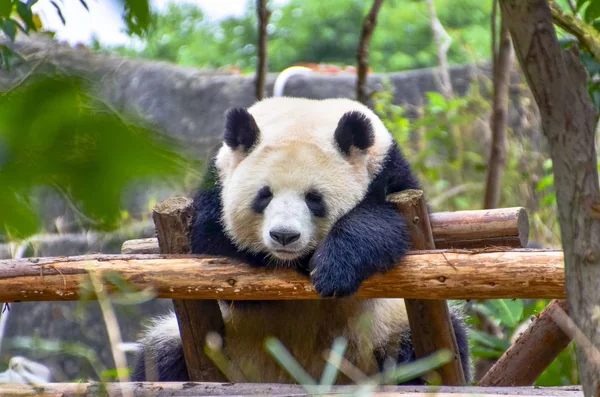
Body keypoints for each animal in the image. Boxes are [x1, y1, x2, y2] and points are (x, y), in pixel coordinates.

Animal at [134, 96, 472, 384]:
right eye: (264, 195)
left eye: (314, 198)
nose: (284, 236)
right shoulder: (216, 185)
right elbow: (217, 247)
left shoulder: (391, 172)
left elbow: (391, 225)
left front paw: (333, 268)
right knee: (159, 358)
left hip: (385, 332)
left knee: (429, 353)